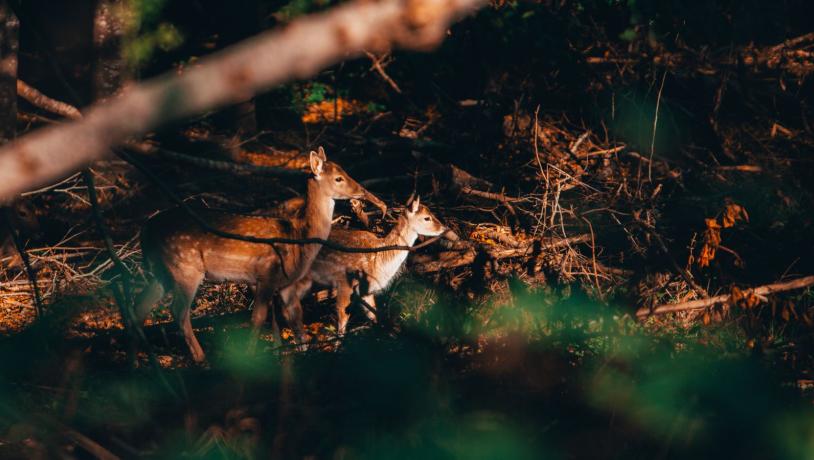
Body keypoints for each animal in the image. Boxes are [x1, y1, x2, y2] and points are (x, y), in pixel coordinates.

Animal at [135, 147, 384, 362]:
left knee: (139, 307)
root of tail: (145, 229)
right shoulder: (267, 274)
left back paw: (139, 361)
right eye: (338, 178)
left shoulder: (285, 282)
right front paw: (252, 355)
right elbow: (258, 318)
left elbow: (295, 316)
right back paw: (200, 358)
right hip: (185, 266)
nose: (362, 191)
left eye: (345, 171)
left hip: (161, 271)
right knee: (178, 311)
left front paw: (301, 351)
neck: (298, 238)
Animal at [278, 195, 450, 338]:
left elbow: (373, 315)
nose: (444, 228)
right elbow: (342, 319)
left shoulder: (366, 290)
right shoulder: (344, 281)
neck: (379, 260)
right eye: (427, 218)